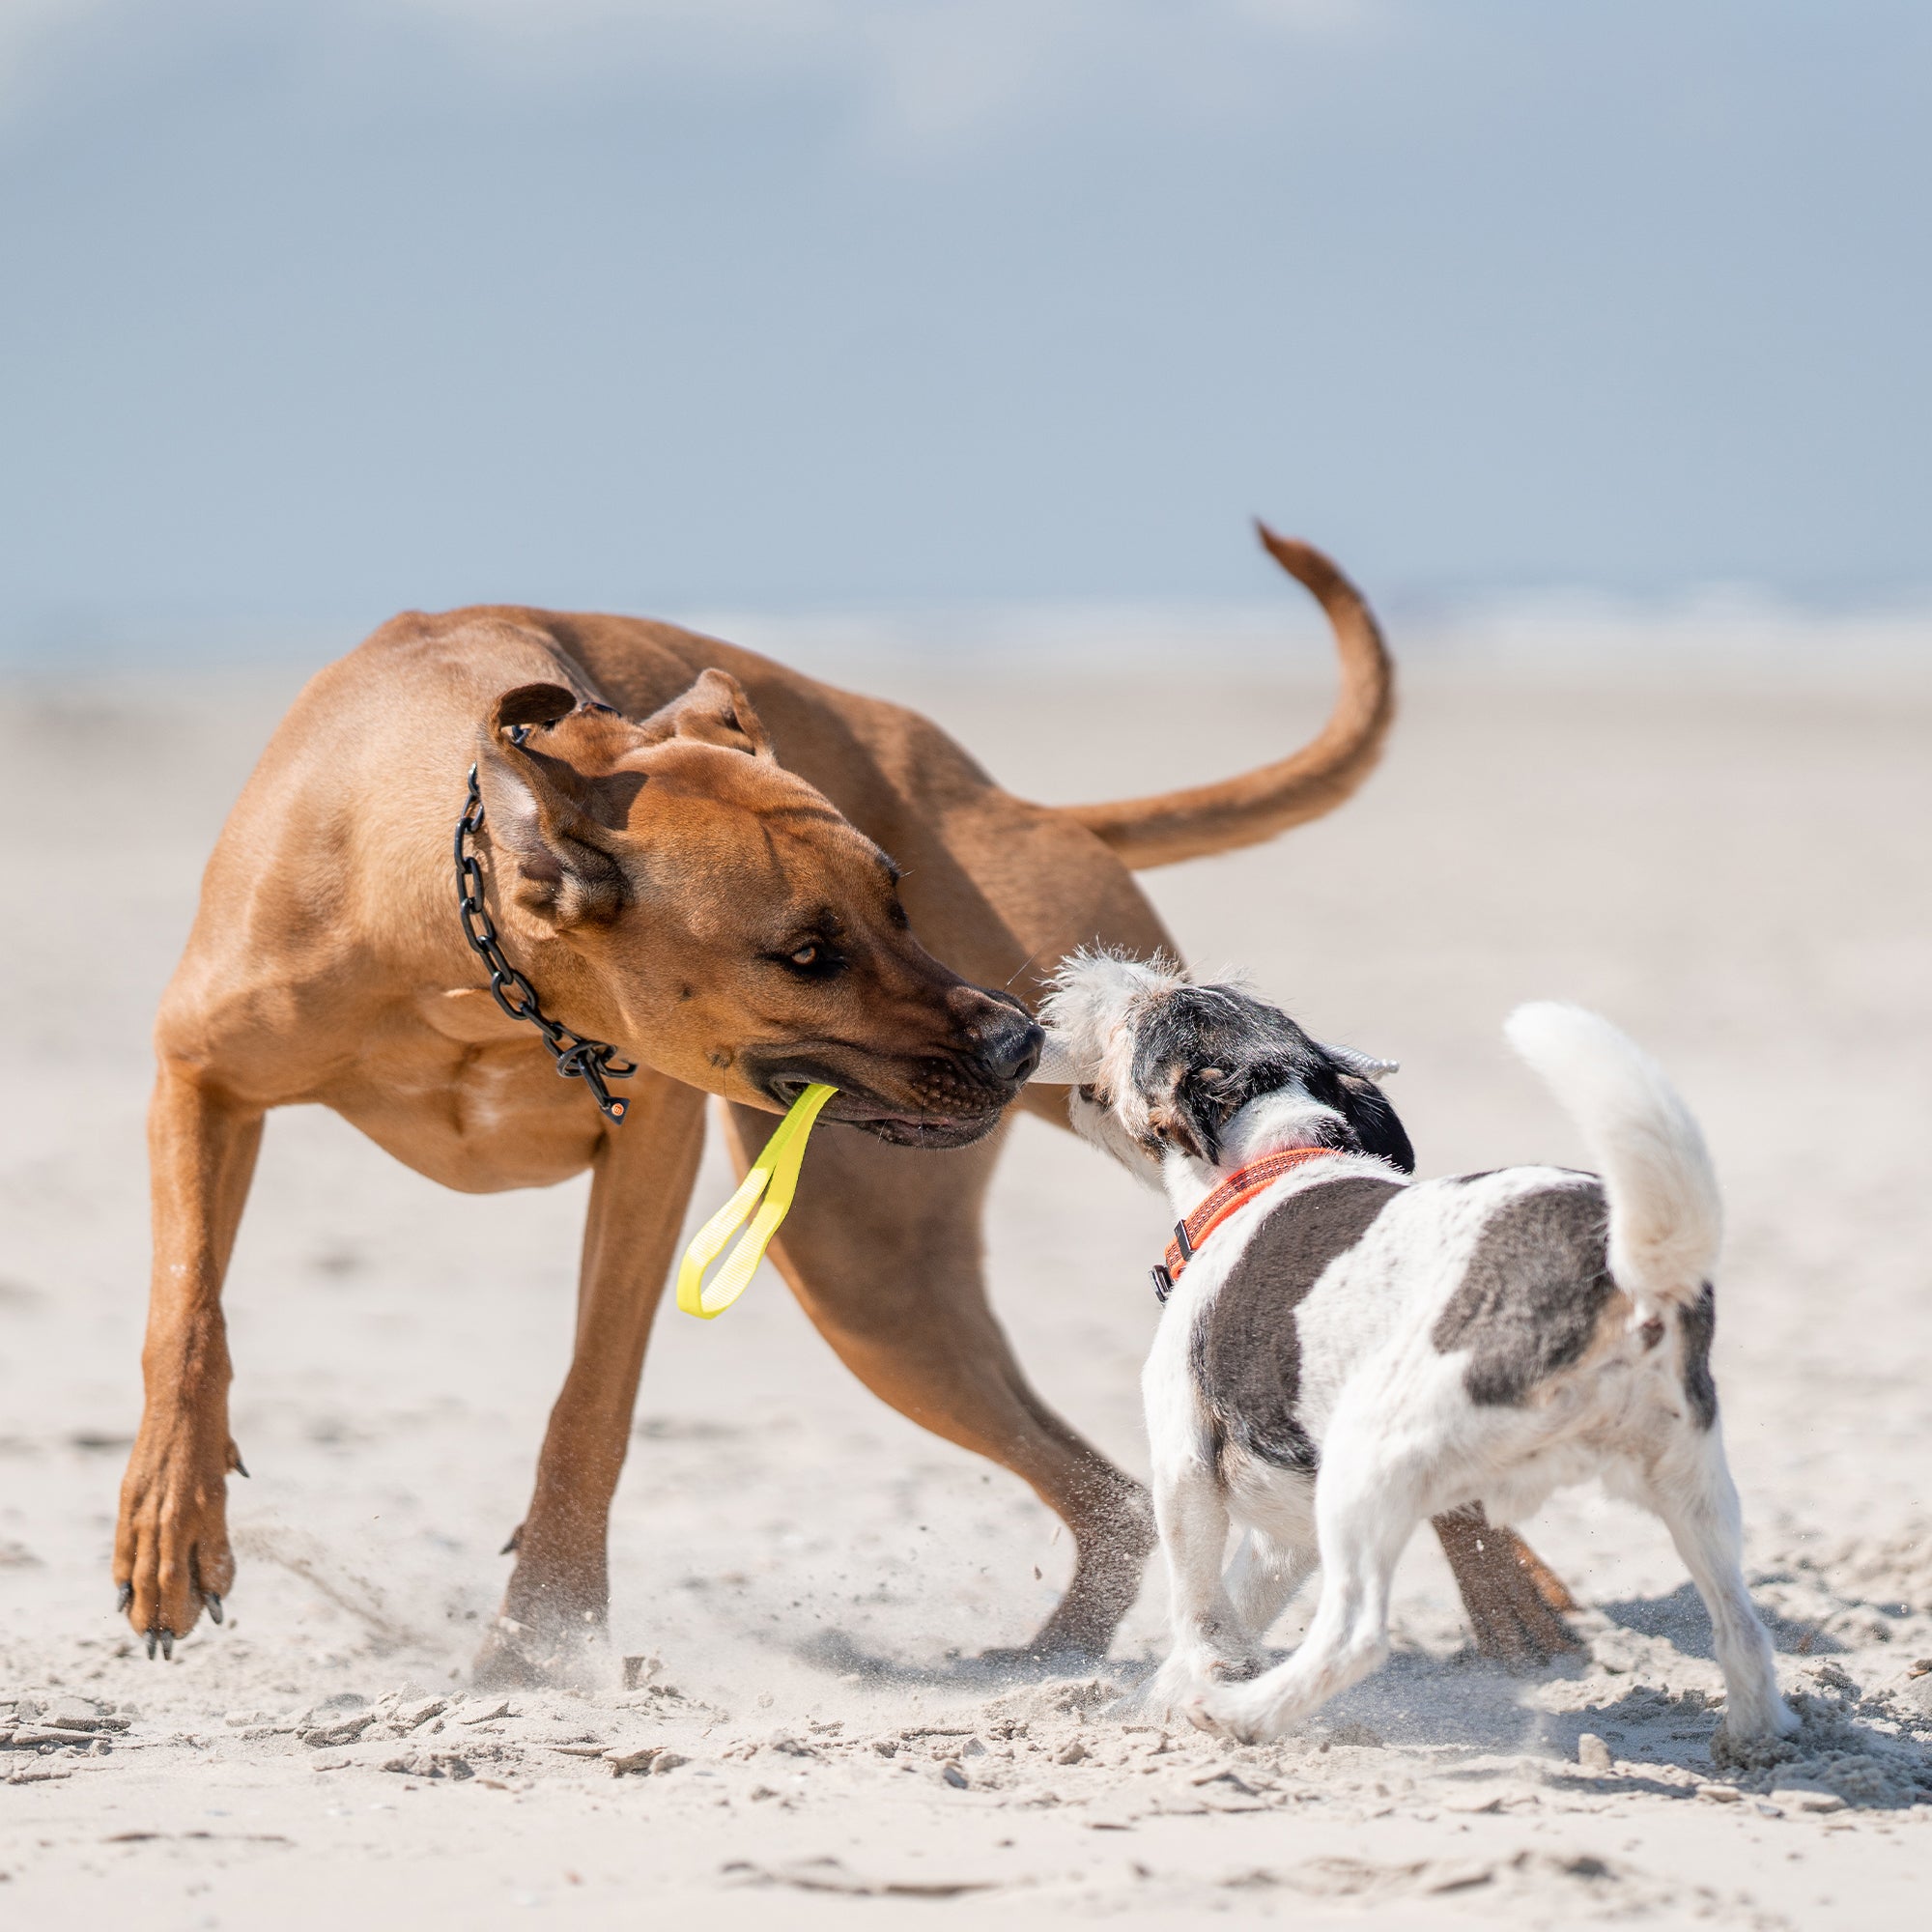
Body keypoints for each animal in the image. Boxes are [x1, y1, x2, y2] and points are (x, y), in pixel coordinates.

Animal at [113, 526, 1577, 1677]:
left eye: (896, 896)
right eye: (806, 952)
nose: (1018, 1040)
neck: (459, 920)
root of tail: (1023, 802)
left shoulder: (644, 1162)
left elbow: (589, 1403)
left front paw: (539, 1644)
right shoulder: (197, 1074)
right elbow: (186, 1311)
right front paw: (173, 1524)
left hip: (912, 1230)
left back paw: (1508, 1595)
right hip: (881, 1283)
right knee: (1109, 1491)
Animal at [1036, 951, 1801, 1754]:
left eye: (1142, 1016)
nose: (1107, 969)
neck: (1277, 1161)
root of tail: (1616, 1265)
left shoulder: (1184, 1462)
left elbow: (1199, 1609)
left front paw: (1204, 1684)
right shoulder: (1290, 1524)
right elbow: (1240, 1602)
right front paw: (1145, 1704)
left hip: (1372, 1458)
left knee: (1355, 1635)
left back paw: (1242, 1715)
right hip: (1692, 1483)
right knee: (1742, 1628)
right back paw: (1755, 1738)